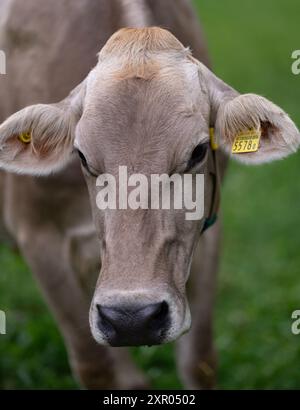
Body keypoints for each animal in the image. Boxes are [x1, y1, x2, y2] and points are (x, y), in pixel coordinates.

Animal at [0, 0, 298, 390]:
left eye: (198, 151)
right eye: (81, 156)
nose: (132, 318)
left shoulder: (209, 227)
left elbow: (200, 361)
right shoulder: (38, 234)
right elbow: (96, 364)